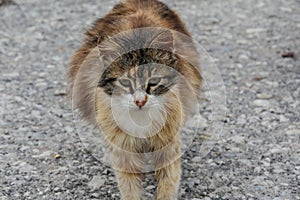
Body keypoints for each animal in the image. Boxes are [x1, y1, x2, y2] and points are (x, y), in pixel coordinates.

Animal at [68, 0, 202, 199]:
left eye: (153, 82)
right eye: (124, 82)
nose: (140, 101)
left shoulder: (168, 142)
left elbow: (168, 182)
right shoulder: (123, 148)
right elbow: (129, 186)